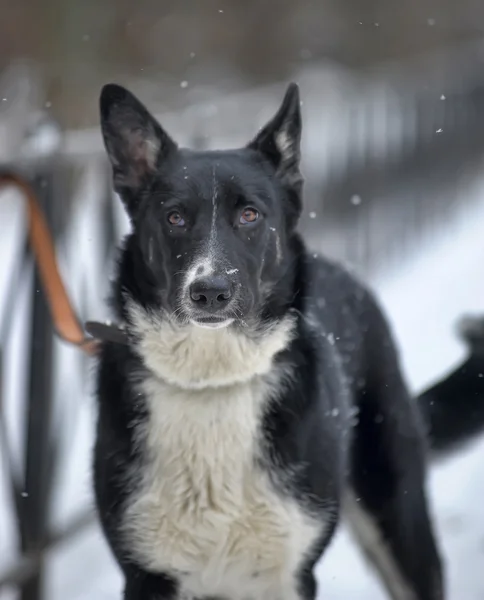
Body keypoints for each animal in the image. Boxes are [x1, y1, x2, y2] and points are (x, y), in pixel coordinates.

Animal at [94, 81, 484, 600]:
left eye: (250, 215)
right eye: (175, 218)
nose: (210, 291)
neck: (213, 379)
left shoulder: (290, 574)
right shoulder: (147, 577)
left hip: (399, 518)